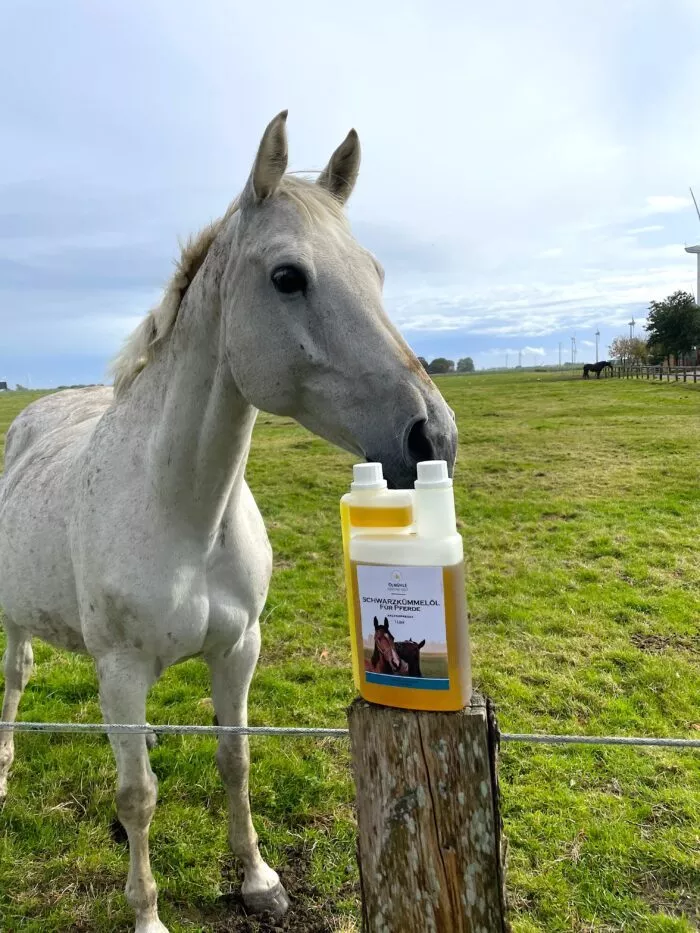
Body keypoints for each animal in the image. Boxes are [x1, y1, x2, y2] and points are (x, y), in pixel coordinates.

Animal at [0, 112, 457, 933]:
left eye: (375, 272)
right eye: (288, 277)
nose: (431, 436)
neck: (184, 509)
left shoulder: (238, 650)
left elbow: (234, 760)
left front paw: (258, 879)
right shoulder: (122, 669)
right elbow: (138, 796)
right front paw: (147, 913)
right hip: (19, 622)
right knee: (17, 678)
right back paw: (3, 771)